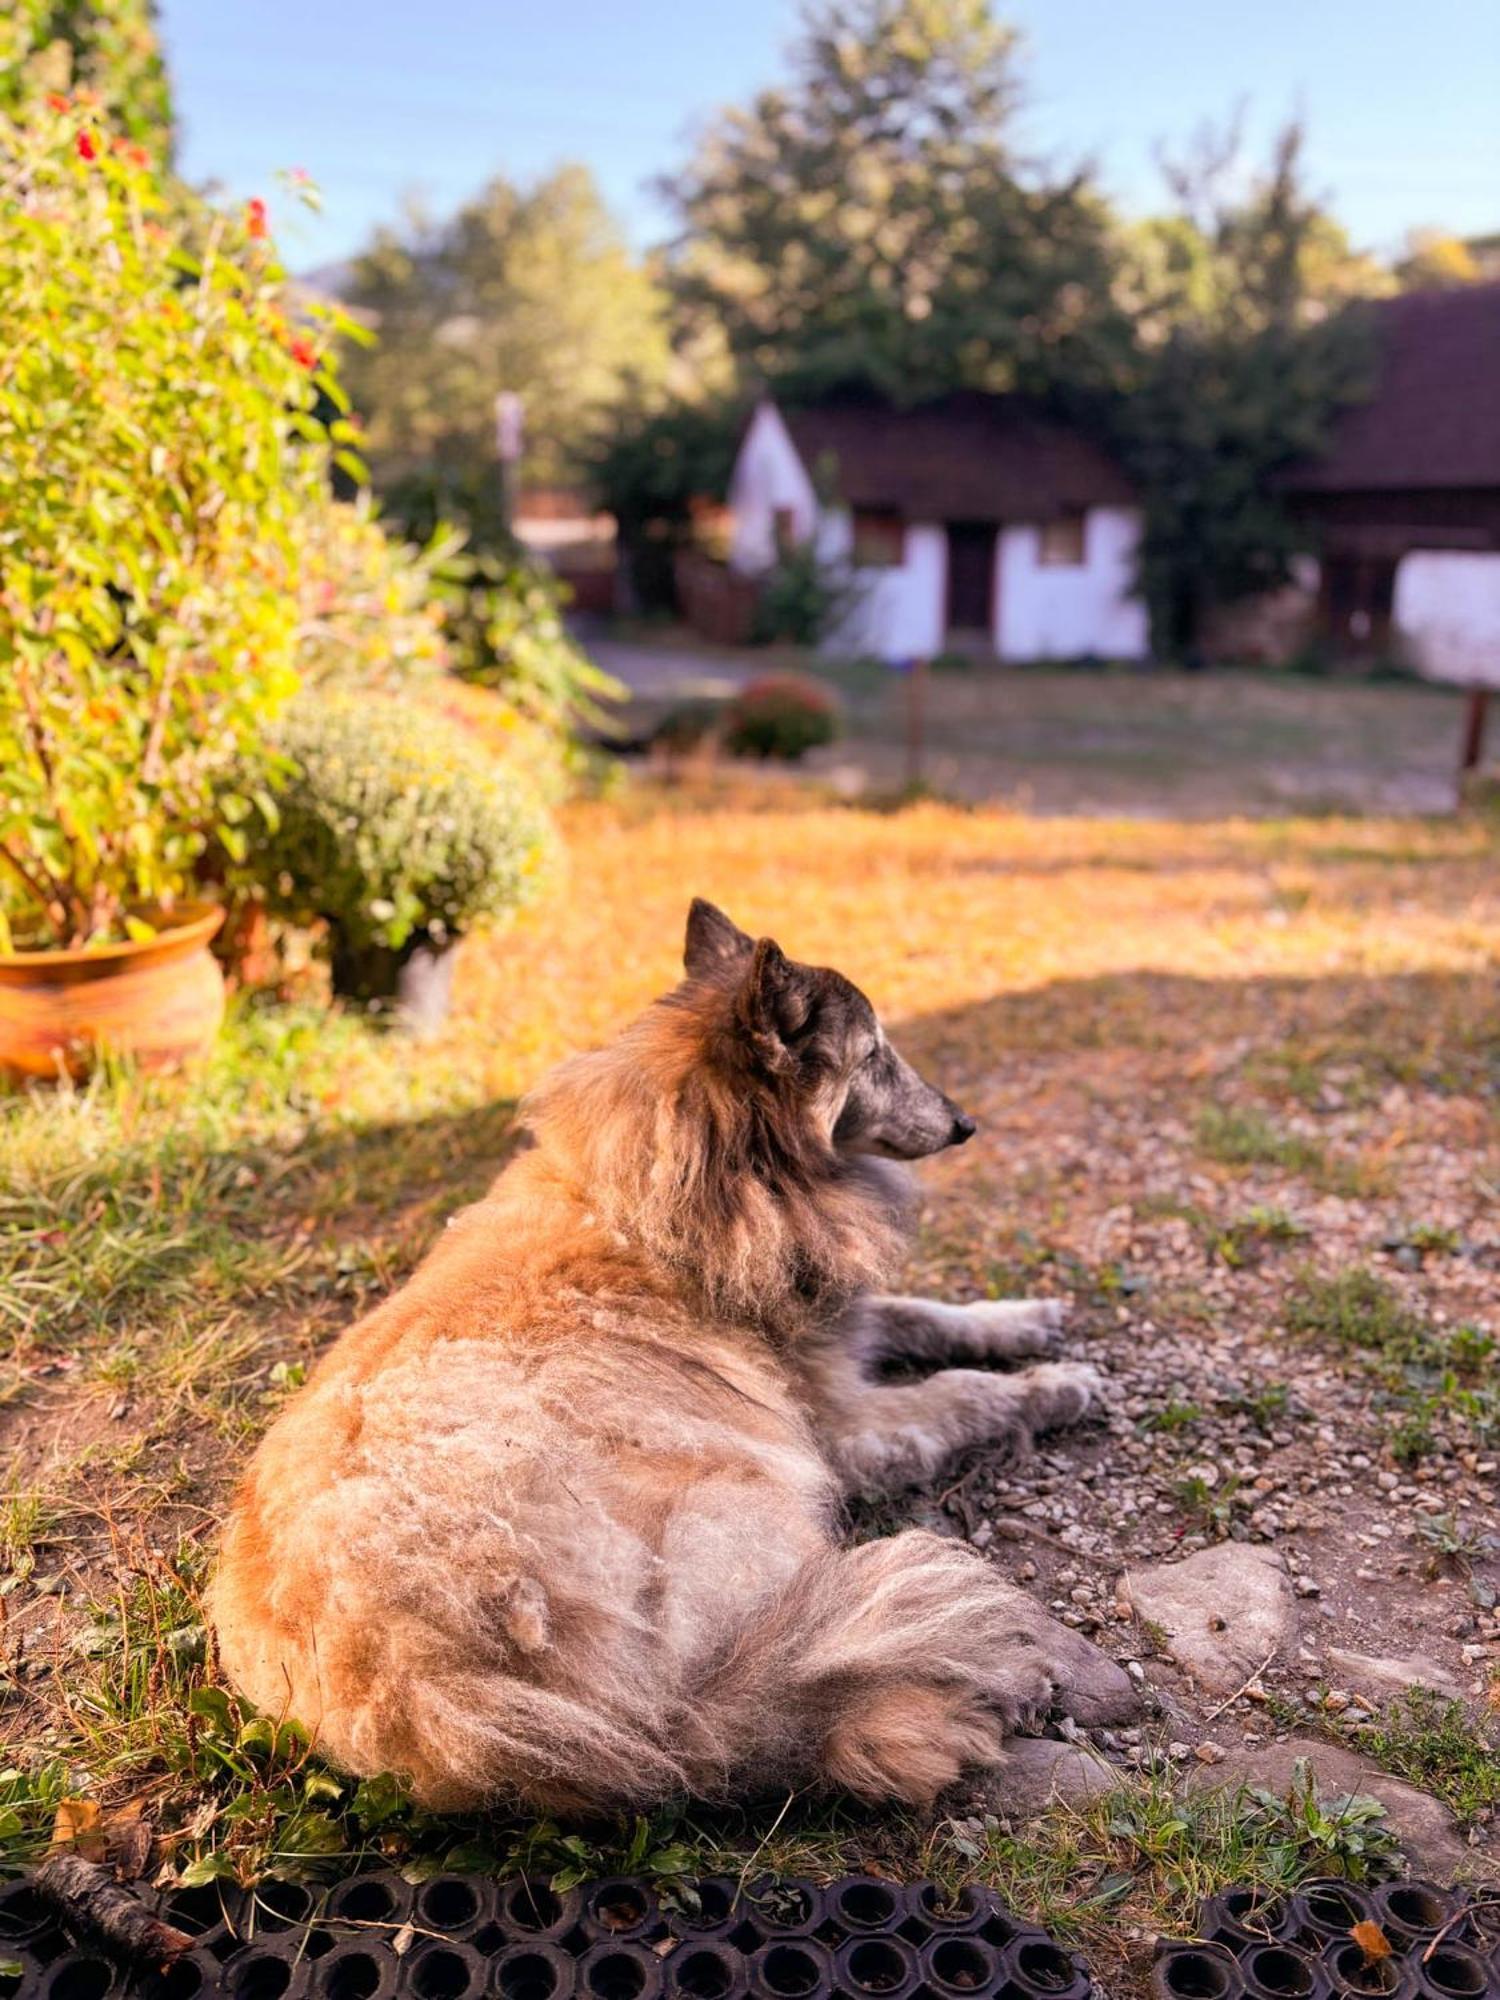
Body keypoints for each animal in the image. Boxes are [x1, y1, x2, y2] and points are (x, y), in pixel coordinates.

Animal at [209, 908, 1128, 1816]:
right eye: (874, 1056)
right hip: (750, 1501)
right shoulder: (853, 1425)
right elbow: (964, 1392)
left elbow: (927, 1315)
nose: (966, 1123)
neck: (697, 1179)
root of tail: (437, 1697)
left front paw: (1028, 1320)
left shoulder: (845, 1326)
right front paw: (1059, 1385)